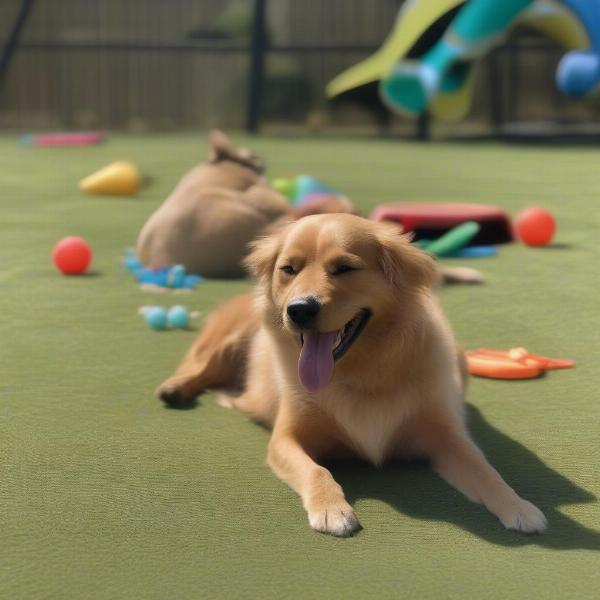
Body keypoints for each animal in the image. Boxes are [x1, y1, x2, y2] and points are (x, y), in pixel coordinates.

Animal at [157, 213, 548, 536]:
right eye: (289, 269)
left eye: (344, 268)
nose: (299, 309)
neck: (360, 373)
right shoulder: (285, 439)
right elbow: (317, 470)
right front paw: (332, 510)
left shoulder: (446, 438)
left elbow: (486, 471)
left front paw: (518, 506)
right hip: (229, 334)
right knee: (200, 362)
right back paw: (175, 388)